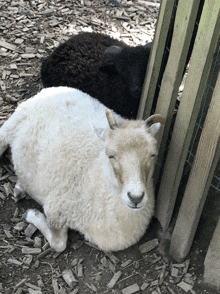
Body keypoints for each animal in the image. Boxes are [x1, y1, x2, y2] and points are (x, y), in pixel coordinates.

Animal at [0, 85, 165, 253]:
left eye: (153, 154)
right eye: (110, 155)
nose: (136, 197)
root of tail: (52, 89)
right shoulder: (56, 208)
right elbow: (59, 244)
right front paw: (33, 215)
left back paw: (20, 188)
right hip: (10, 126)